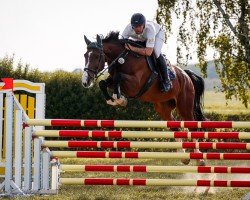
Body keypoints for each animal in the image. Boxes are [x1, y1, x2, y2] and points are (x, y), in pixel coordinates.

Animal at [83, 31, 206, 166]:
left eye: (96, 56)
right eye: (85, 56)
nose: (85, 82)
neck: (122, 59)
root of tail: (186, 75)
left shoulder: (135, 85)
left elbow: (118, 77)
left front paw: (119, 99)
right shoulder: (114, 80)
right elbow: (104, 83)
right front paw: (113, 99)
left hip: (184, 106)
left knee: (192, 126)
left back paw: (199, 159)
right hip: (163, 108)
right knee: (175, 127)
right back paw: (183, 157)